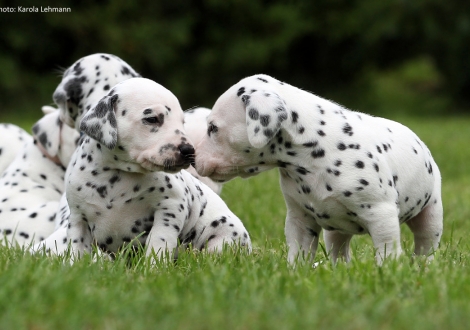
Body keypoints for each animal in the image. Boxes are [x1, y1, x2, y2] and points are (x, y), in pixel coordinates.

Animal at [50, 77, 250, 260]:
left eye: (182, 122)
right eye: (152, 119)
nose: (188, 150)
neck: (117, 177)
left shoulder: (170, 208)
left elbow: (158, 243)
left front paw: (154, 268)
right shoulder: (78, 219)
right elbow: (76, 251)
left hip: (223, 232)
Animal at [193, 73, 442, 264]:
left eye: (213, 128)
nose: (192, 156)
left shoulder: (382, 217)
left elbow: (386, 253)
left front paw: (385, 273)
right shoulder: (300, 221)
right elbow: (299, 254)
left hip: (431, 216)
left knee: (425, 246)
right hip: (336, 231)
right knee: (339, 251)